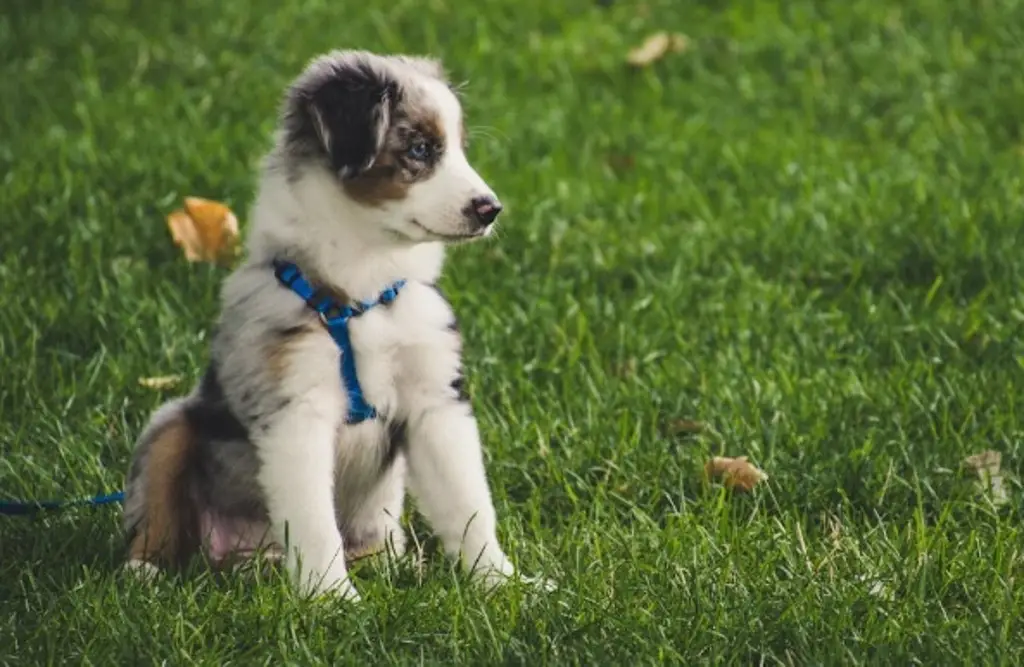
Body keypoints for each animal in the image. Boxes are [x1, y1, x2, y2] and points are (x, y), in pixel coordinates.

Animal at [123, 48, 532, 598]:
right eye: (421, 149)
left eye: (459, 151)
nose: (490, 210)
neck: (363, 291)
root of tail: (246, 555)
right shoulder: (295, 410)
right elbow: (315, 521)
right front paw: (332, 600)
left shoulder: (436, 401)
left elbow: (468, 503)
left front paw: (504, 584)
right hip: (171, 426)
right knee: (157, 511)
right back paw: (144, 570)